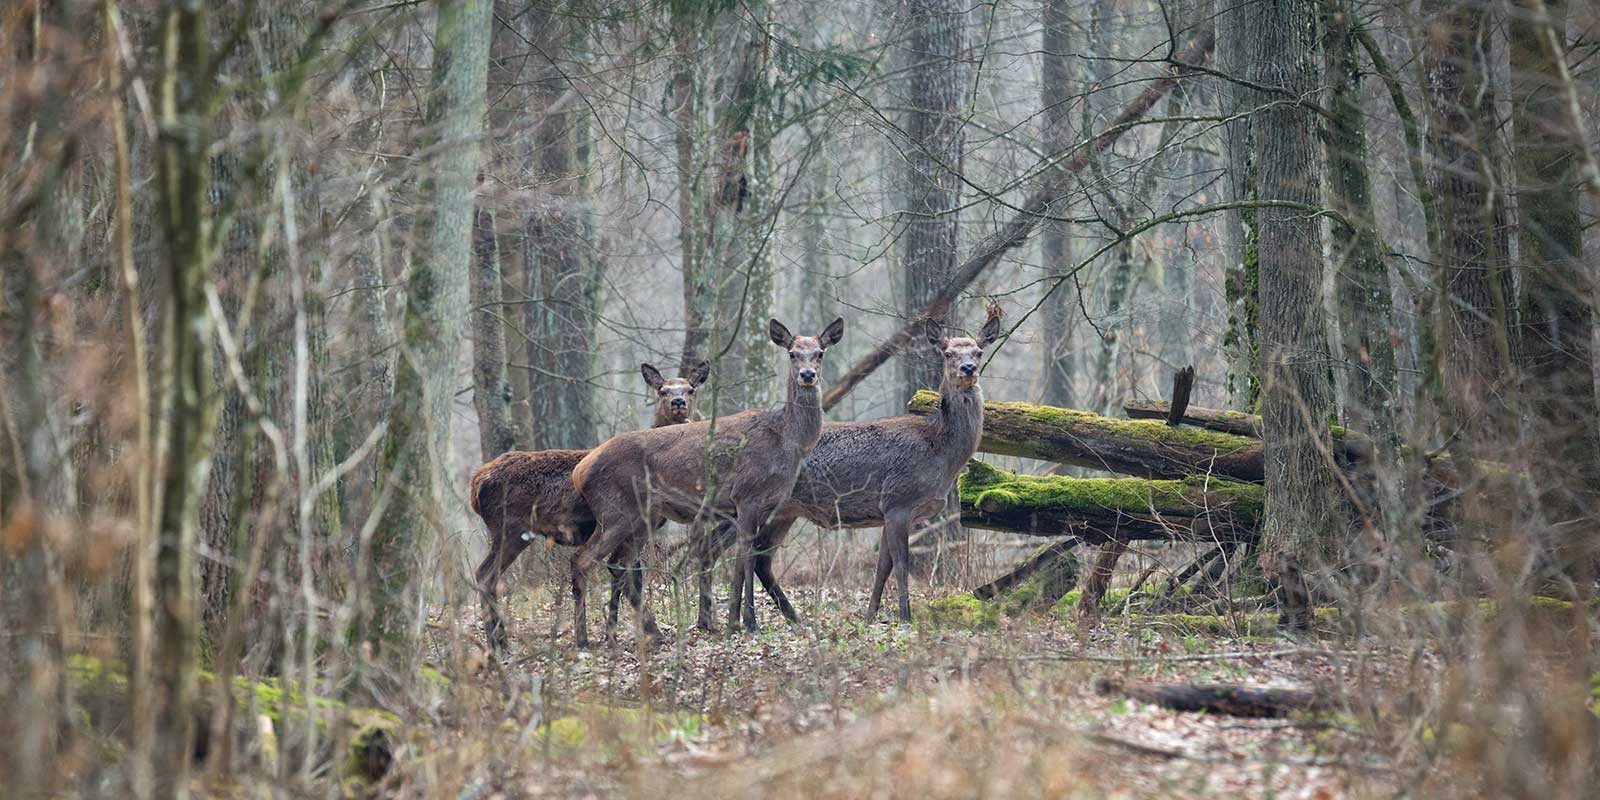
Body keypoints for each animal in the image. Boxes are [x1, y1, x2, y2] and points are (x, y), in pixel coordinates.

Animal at [468, 360, 709, 652]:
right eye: (662, 390)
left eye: (690, 389)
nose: (677, 402)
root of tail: (476, 483)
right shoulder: (640, 524)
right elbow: (628, 576)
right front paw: (631, 633)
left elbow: (628, 576)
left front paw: (623, 633)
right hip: (510, 528)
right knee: (486, 574)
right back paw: (506, 642)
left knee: (486, 575)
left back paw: (500, 641)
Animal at [569, 317, 844, 646]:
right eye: (792, 353)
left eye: (820, 353)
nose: (807, 375)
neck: (788, 442)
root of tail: (580, 470)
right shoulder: (747, 495)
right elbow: (745, 559)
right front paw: (748, 622)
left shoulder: (756, 506)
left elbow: (740, 560)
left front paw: (732, 622)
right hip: (615, 511)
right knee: (583, 560)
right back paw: (584, 639)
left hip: (641, 517)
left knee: (617, 564)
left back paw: (637, 634)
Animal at [689, 304, 1002, 628]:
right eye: (948, 353)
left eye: (978, 351)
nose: (968, 369)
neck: (941, 454)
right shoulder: (899, 500)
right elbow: (901, 565)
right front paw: (905, 617)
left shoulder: (887, 510)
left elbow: (883, 566)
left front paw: (870, 616)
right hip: (746, 502)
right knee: (720, 549)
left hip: (783, 512)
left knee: (755, 557)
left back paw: (784, 617)